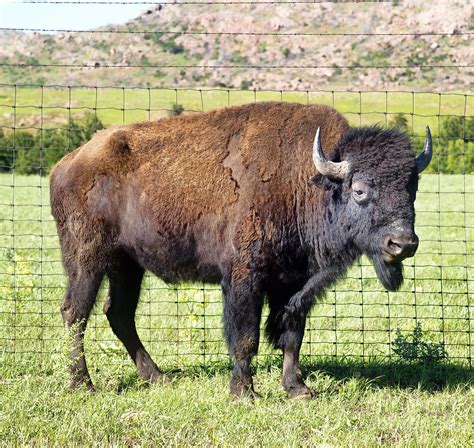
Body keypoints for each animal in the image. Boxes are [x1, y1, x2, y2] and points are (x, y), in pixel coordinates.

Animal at [50, 102, 432, 400]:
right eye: (359, 189)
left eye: (412, 186)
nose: (402, 243)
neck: (307, 180)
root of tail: (66, 164)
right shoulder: (244, 277)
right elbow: (246, 335)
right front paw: (244, 392)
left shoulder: (294, 284)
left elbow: (292, 334)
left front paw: (297, 389)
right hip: (87, 257)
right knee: (75, 312)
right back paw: (82, 384)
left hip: (127, 265)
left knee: (119, 313)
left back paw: (157, 377)